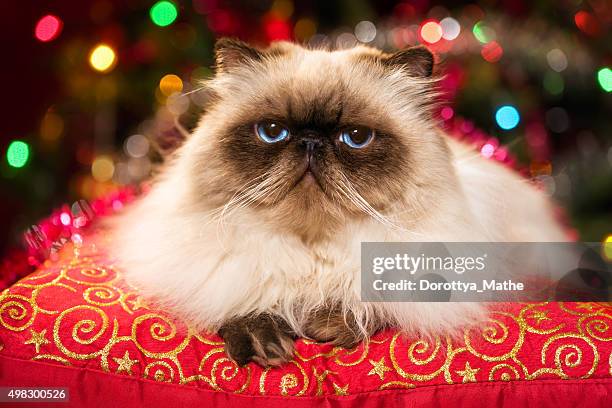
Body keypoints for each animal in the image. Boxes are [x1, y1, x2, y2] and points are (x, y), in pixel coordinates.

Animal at [109, 39, 564, 366]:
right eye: (272, 131)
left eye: (356, 138)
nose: (311, 142)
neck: (313, 248)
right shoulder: (219, 271)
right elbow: (243, 297)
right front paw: (264, 343)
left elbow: (377, 300)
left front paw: (328, 325)